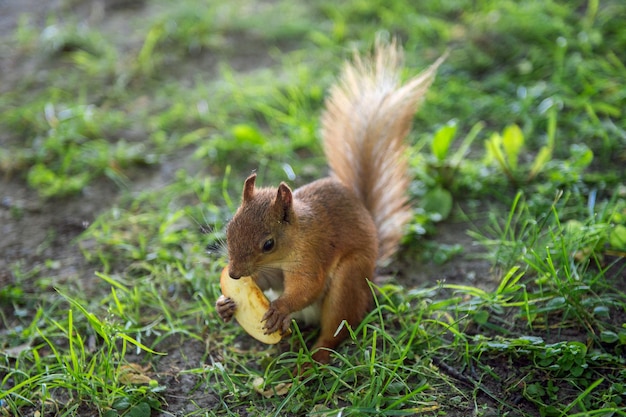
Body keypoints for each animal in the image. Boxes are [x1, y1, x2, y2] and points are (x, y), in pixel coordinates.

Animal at [214, 39, 444, 364]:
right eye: (229, 229)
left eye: (268, 244)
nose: (233, 273)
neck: (293, 242)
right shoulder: (268, 272)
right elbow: (266, 283)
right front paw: (224, 303)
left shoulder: (314, 254)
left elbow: (308, 287)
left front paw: (281, 308)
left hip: (348, 281)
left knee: (336, 330)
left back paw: (312, 361)